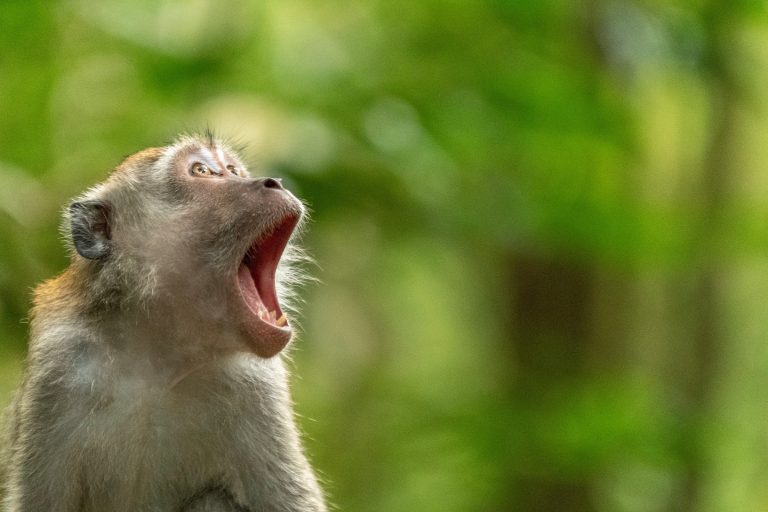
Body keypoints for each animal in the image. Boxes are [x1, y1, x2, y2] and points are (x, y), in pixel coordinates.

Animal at [2, 134, 327, 512]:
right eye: (202, 171)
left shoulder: (257, 382)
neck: (158, 352)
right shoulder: (57, 366)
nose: (274, 182)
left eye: (232, 170)